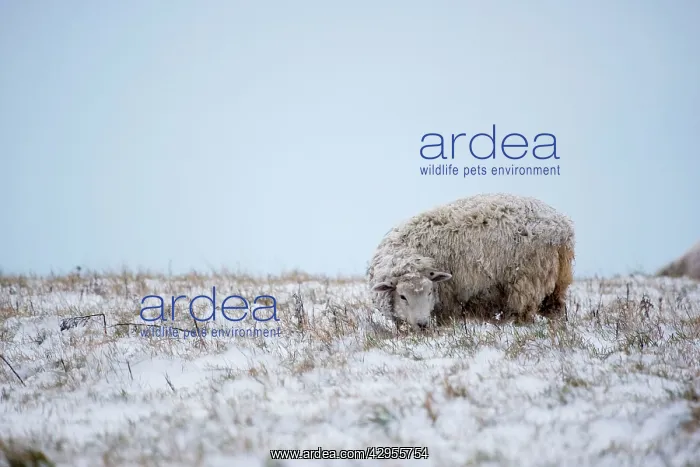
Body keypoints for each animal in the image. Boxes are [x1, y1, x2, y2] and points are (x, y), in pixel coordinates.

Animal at [366, 193, 575, 330]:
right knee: (555, 310)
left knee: (524, 313)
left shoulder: (447, 301)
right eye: (402, 296)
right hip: (557, 283)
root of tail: (562, 227)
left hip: (528, 280)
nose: (422, 324)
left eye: (430, 292)